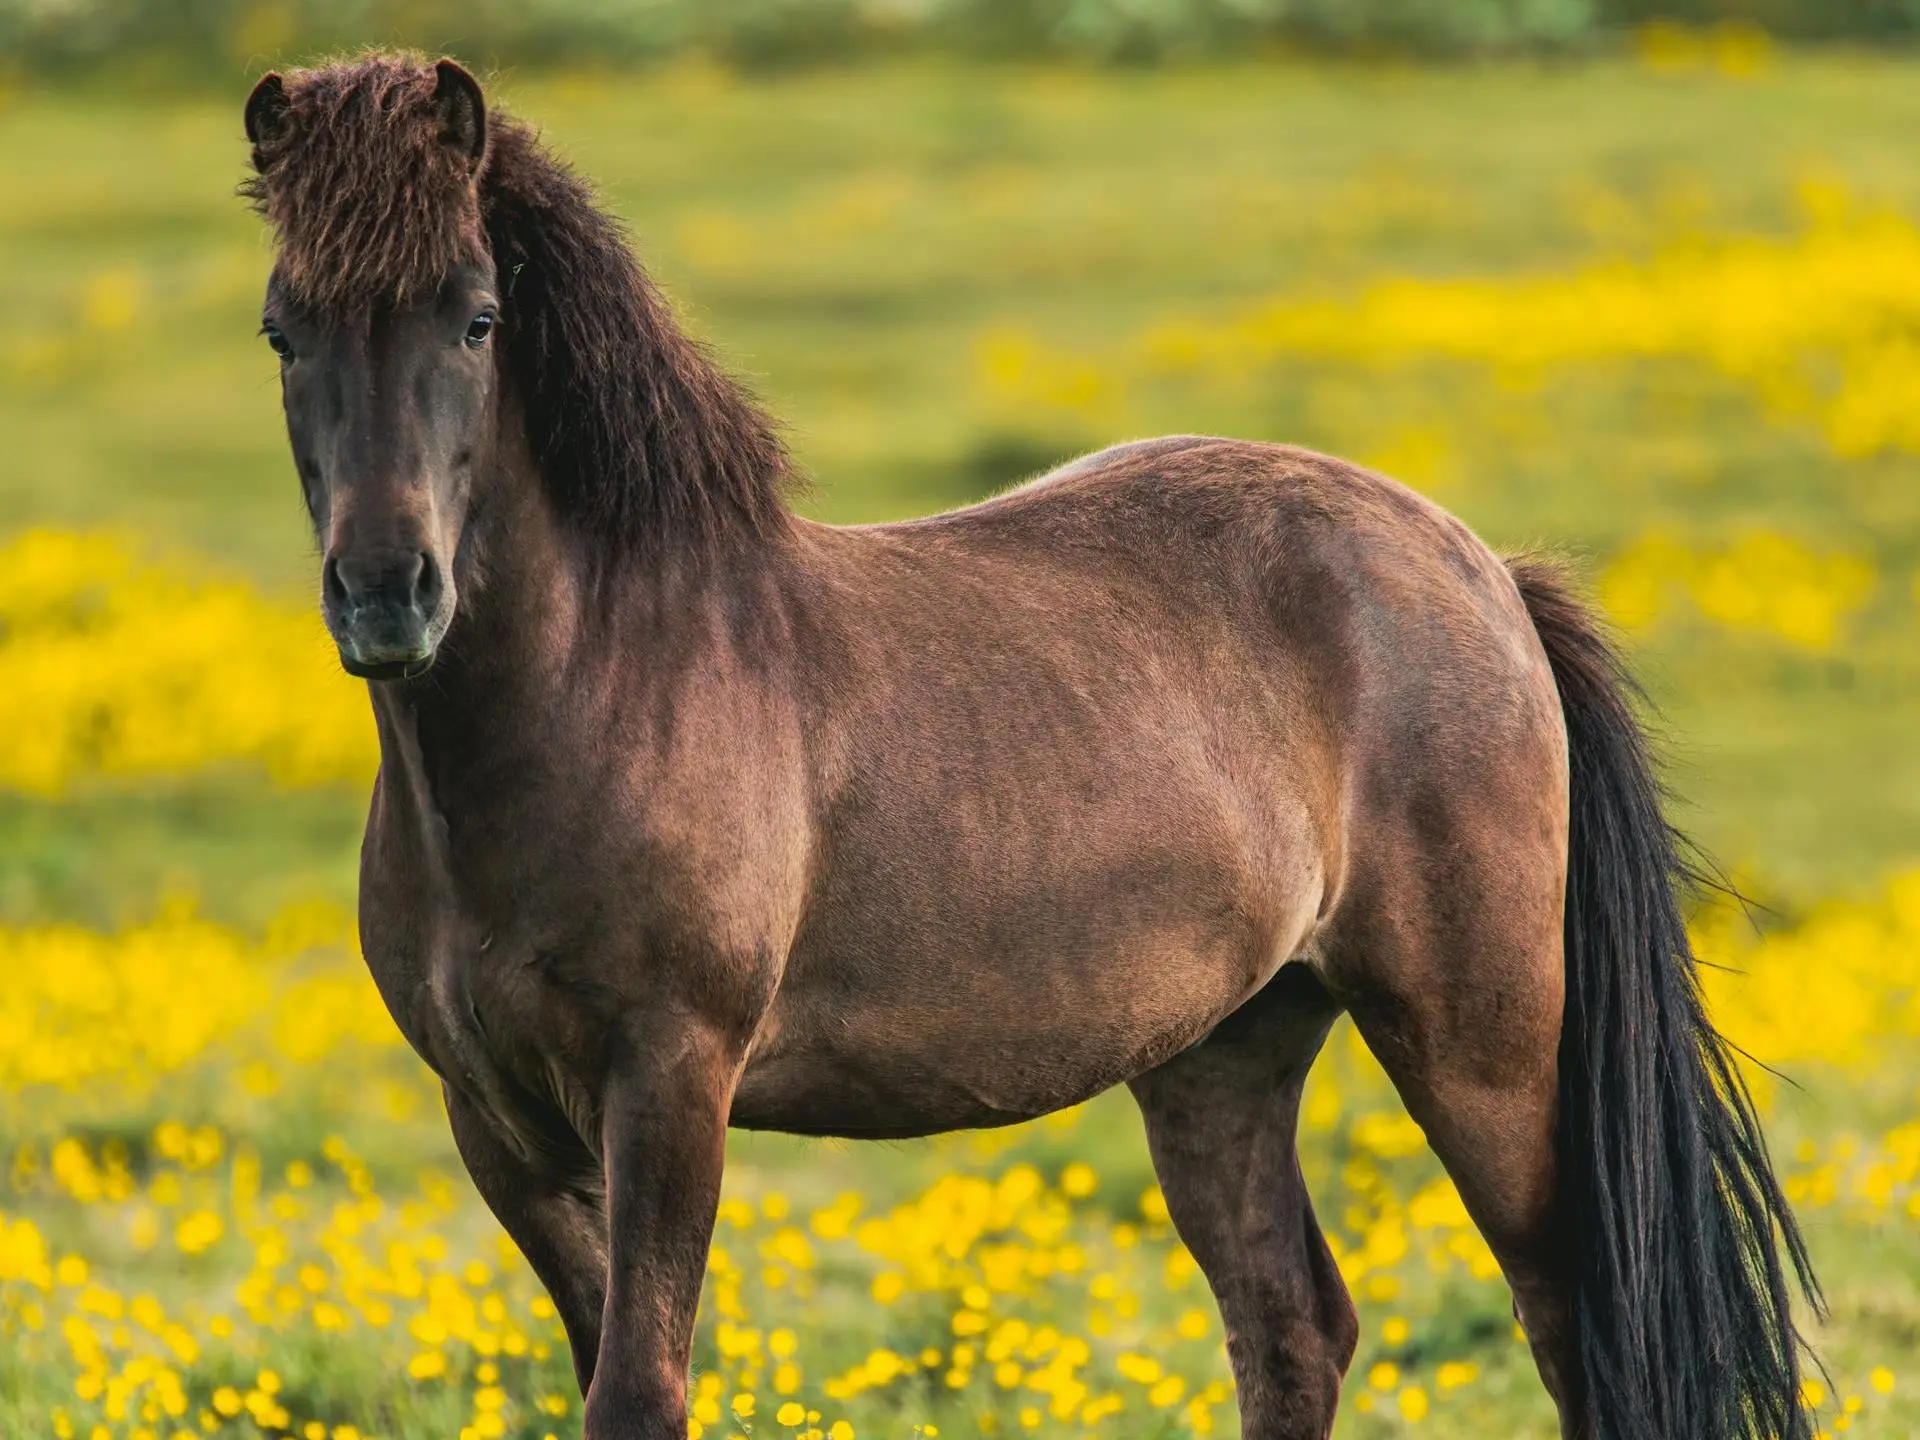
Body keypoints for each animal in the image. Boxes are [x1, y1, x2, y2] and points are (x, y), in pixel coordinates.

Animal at [240, 53, 1812, 1440]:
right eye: (283, 331)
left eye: (476, 317)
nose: (386, 594)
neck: (603, 689)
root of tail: (1481, 568)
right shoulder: (498, 1130)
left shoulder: (671, 1086)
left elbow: (639, 1394)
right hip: (1224, 1050)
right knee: (1291, 1325)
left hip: (1478, 1041)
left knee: (1563, 1320)